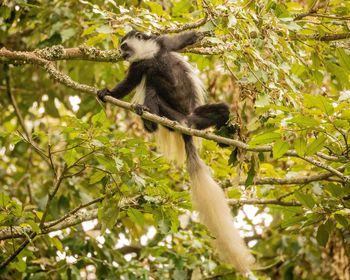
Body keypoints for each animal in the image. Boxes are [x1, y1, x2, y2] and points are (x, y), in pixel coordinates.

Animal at [98, 30, 254, 272]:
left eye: (124, 46)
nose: (121, 53)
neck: (149, 55)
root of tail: (184, 124)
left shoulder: (162, 44)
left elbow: (182, 40)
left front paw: (202, 33)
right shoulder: (138, 67)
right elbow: (128, 84)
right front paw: (106, 92)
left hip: (196, 115)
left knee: (222, 110)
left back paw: (222, 138)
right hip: (170, 113)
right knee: (152, 88)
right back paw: (148, 118)